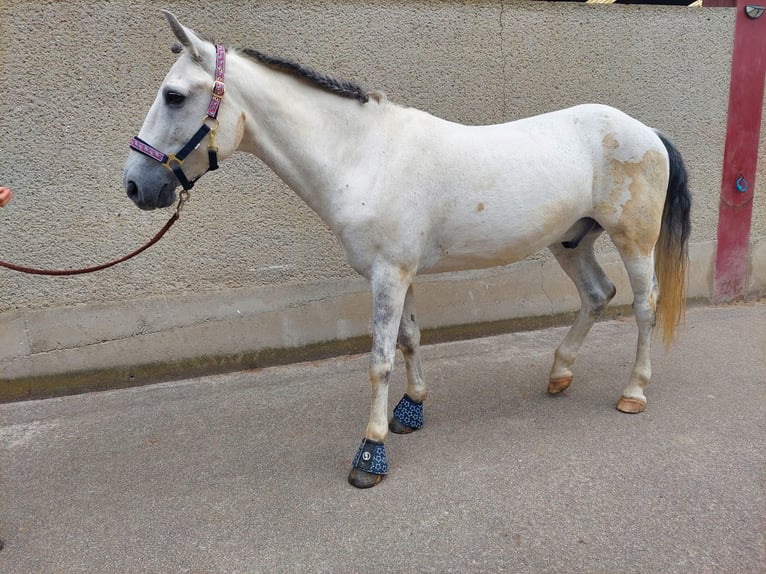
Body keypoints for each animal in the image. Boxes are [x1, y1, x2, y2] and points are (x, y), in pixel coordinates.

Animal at [121, 12, 696, 490]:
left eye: (174, 96)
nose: (135, 185)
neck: (364, 156)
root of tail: (647, 132)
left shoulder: (388, 274)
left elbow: (378, 358)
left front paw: (371, 453)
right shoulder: (401, 273)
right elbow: (409, 339)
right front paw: (410, 411)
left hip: (634, 242)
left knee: (643, 306)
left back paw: (633, 393)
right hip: (571, 242)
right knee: (598, 295)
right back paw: (559, 375)